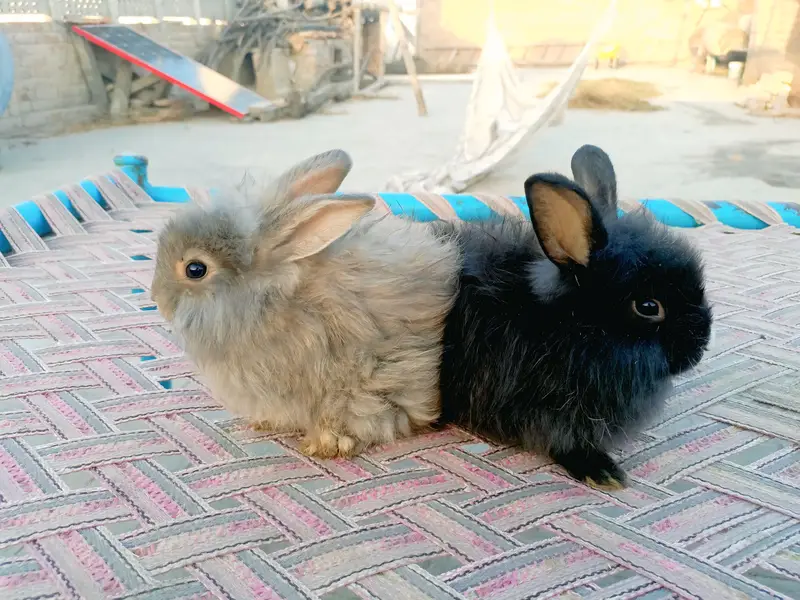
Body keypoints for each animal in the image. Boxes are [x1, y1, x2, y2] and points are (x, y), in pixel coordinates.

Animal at [435, 144, 713, 489]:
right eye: (648, 307)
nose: (699, 349)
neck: (567, 328)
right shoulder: (546, 412)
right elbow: (564, 441)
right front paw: (602, 470)